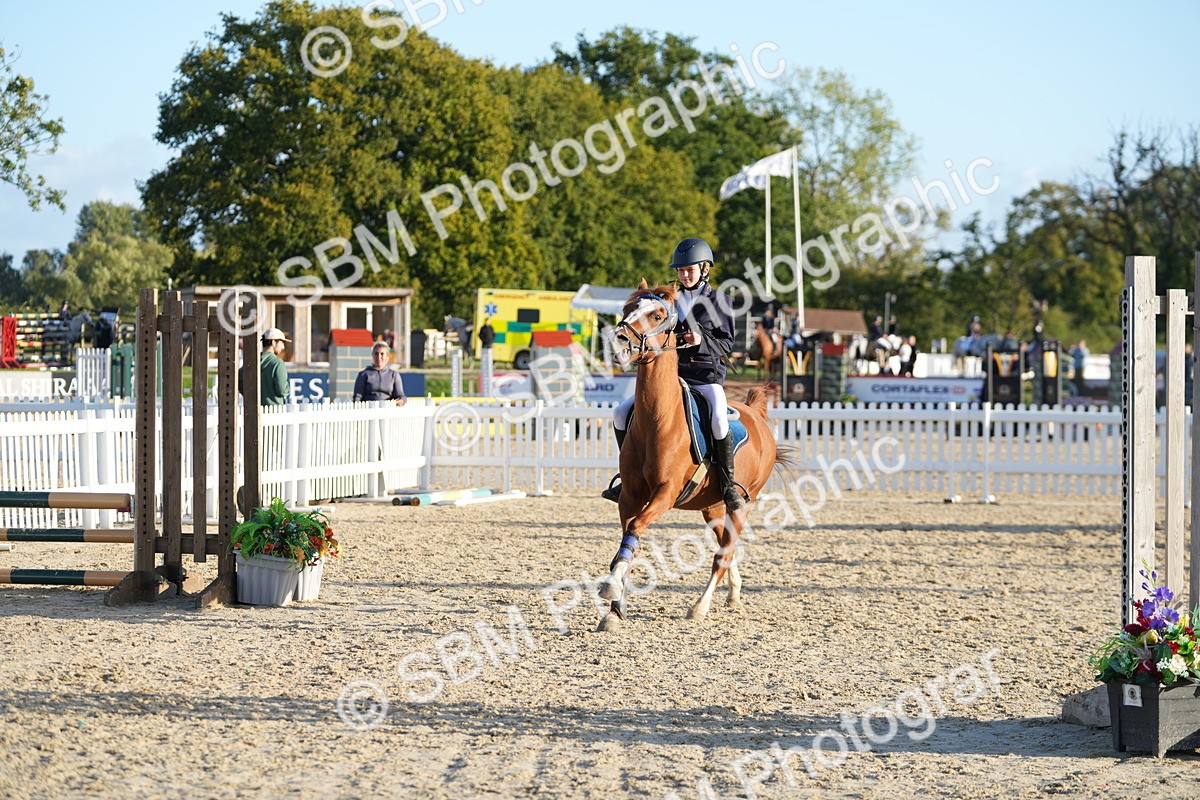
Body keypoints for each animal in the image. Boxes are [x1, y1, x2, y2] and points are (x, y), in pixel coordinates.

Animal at [597, 280, 791, 631]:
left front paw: (611, 590)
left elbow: (636, 528)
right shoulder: (630, 496)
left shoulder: (665, 493)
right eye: (627, 309)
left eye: (658, 314)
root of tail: (756, 413)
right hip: (712, 506)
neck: (658, 418)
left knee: (723, 554)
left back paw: (700, 606)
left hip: (742, 503)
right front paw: (615, 610)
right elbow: (627, 540)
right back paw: (733, 594)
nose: (618, 340)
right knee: (727, 546)